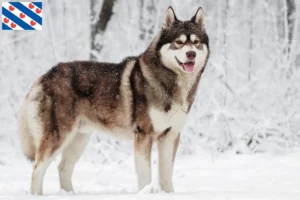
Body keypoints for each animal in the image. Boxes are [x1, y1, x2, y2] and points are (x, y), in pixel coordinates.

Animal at [18, 5, 209, 194]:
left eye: (196, 42)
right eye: (179, 42)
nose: (191, 54)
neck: (171, 83)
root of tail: (45, 75)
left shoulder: (171, 136)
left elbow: (166, 175)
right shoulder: (144, 135)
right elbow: (145, 176)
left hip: (79, 139)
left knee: (63, 168)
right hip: (58, 137)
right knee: (37, 169)